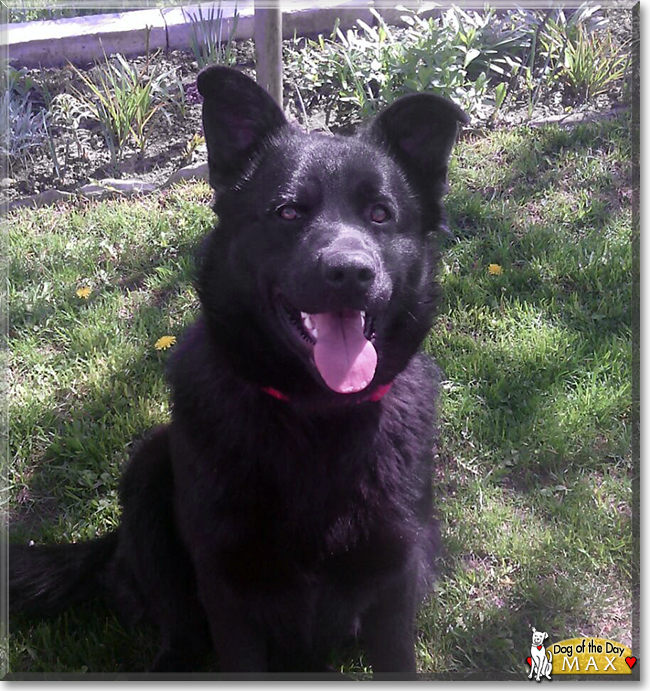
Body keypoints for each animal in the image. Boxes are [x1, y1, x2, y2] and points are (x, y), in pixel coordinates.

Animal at [10, 66, 466, 676]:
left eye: (380, 214)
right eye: (288, 212)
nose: (351, 273)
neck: (317, 414)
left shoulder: (394, 574)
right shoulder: (228, 585)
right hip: (149, 472)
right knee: (179, 630)